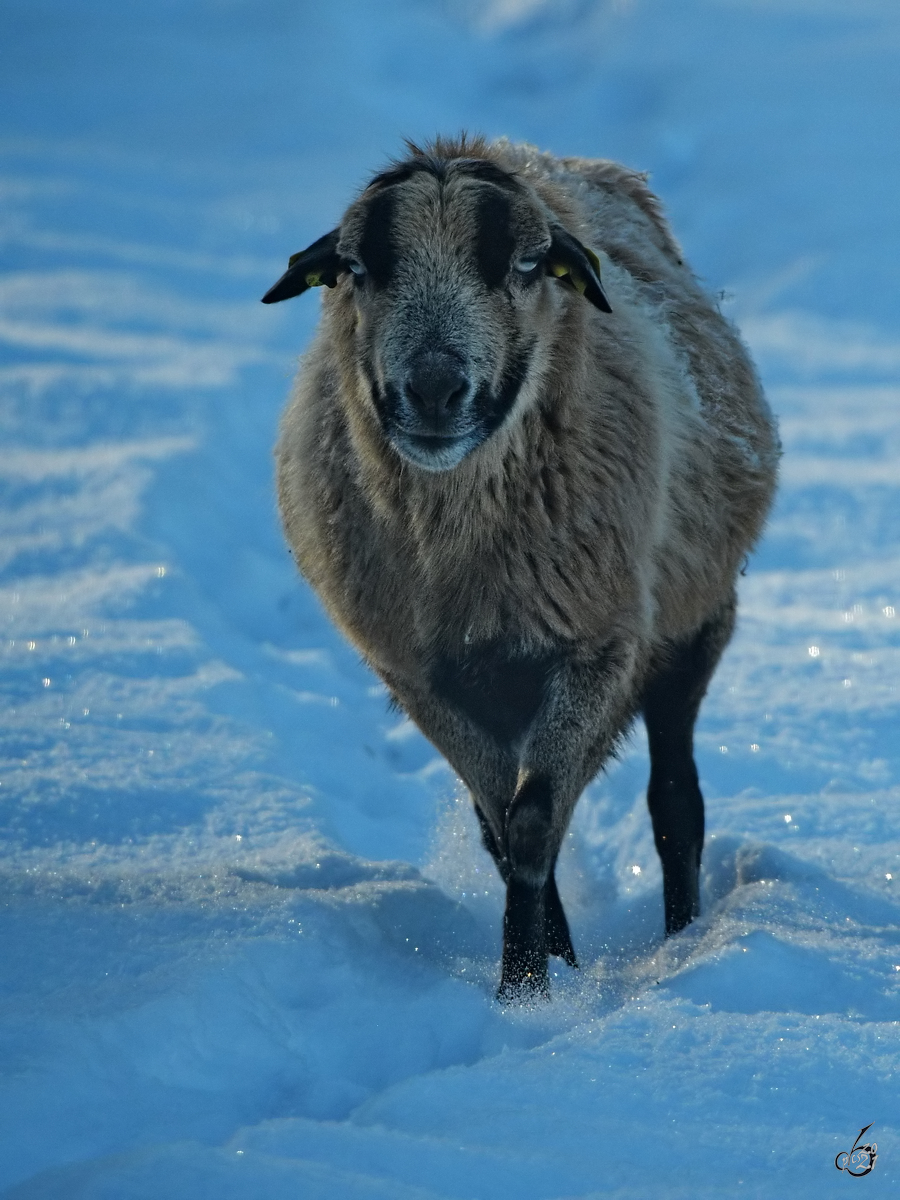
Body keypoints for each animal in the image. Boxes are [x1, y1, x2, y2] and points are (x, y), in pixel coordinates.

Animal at [264, 133, 777, 1003]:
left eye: (526, 265)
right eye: (358, 268)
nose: (435, 390)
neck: (465, 556)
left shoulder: (596, 648)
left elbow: (535, 821)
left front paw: (525, 988)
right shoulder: (419, 675)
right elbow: (504, 828)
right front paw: (543, 976)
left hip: (694, 627)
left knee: (675, 800)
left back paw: (682, 935)